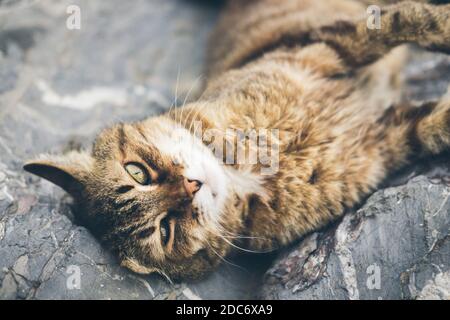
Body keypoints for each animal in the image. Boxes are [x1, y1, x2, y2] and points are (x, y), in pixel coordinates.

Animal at [23, 0, 450, 278]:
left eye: (137, 172)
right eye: (165, 230)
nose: (191, 187)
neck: (245, 168)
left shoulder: (325, 46)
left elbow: (403, 20)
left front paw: (441, 24)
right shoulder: (384, 142)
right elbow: (435, 125)